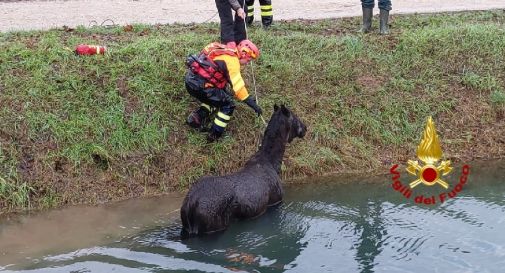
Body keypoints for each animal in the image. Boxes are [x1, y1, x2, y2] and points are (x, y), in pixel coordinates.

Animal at [181, 103, 308, 236]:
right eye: (295, 117)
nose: (305, 128)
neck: (273, 162)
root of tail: (189, 207)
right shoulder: (275, 202)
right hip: (215, 227)